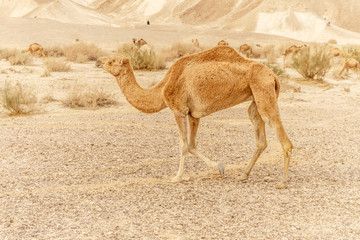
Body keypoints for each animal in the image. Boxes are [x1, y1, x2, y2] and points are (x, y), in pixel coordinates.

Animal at [100, 44, 292, 188]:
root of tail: (274, 75)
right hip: (255, 99)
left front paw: (176, 177)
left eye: (111, 61)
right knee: (260, 138)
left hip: (263, 90)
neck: (162, 89)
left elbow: (183, 145)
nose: (99, 61)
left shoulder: (179, 109)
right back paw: (243, 175)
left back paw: (282, 182)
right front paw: (219, 168)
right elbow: (192, 145)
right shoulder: (194, 114)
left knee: (282, 136)